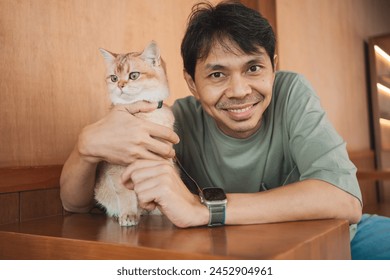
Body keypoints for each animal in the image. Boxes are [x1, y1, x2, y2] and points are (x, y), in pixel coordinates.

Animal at [94, 41, 175, 225]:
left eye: (133, 75)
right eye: (114, 78)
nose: (120, 85)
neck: (145, 116)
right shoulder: (118, 169)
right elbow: (126, 193)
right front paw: (129, 214)